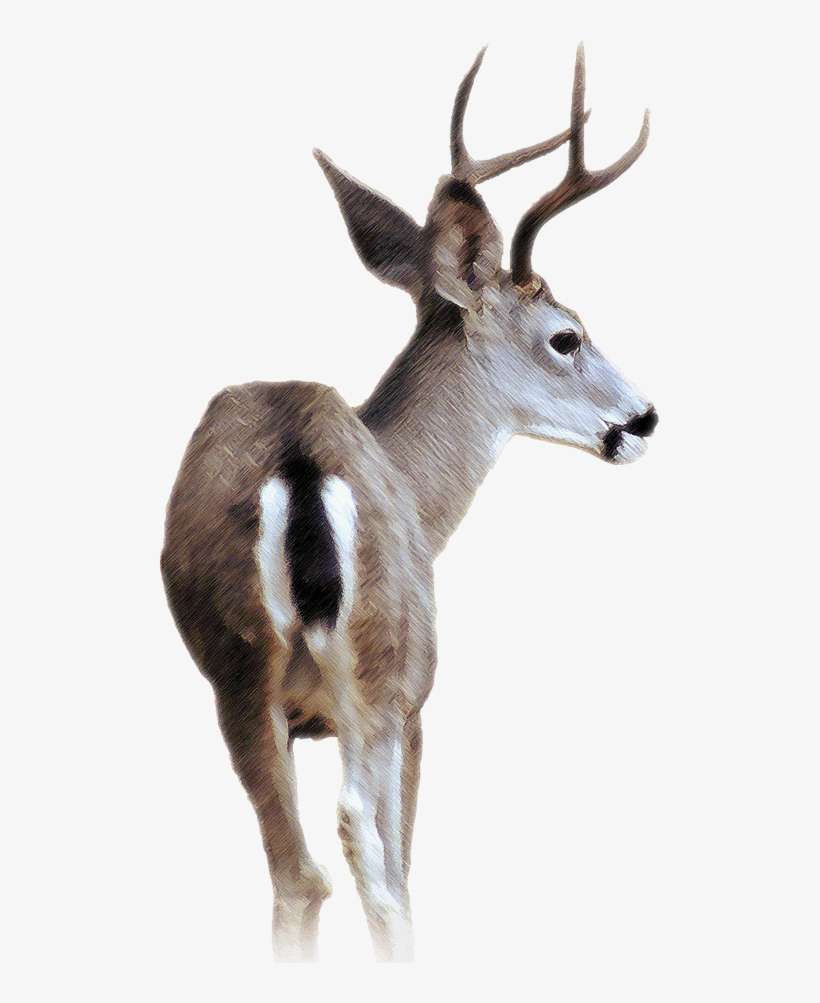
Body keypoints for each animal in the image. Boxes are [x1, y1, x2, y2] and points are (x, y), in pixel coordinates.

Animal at [161, 44, 658, 962]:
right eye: (566, 335)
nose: (643, 418)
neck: (415, 485)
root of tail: (303, 455)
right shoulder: (418, 703)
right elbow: (398, 867)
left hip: (236, 671)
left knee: (297, 872)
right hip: (383, 671)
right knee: (369, 862)